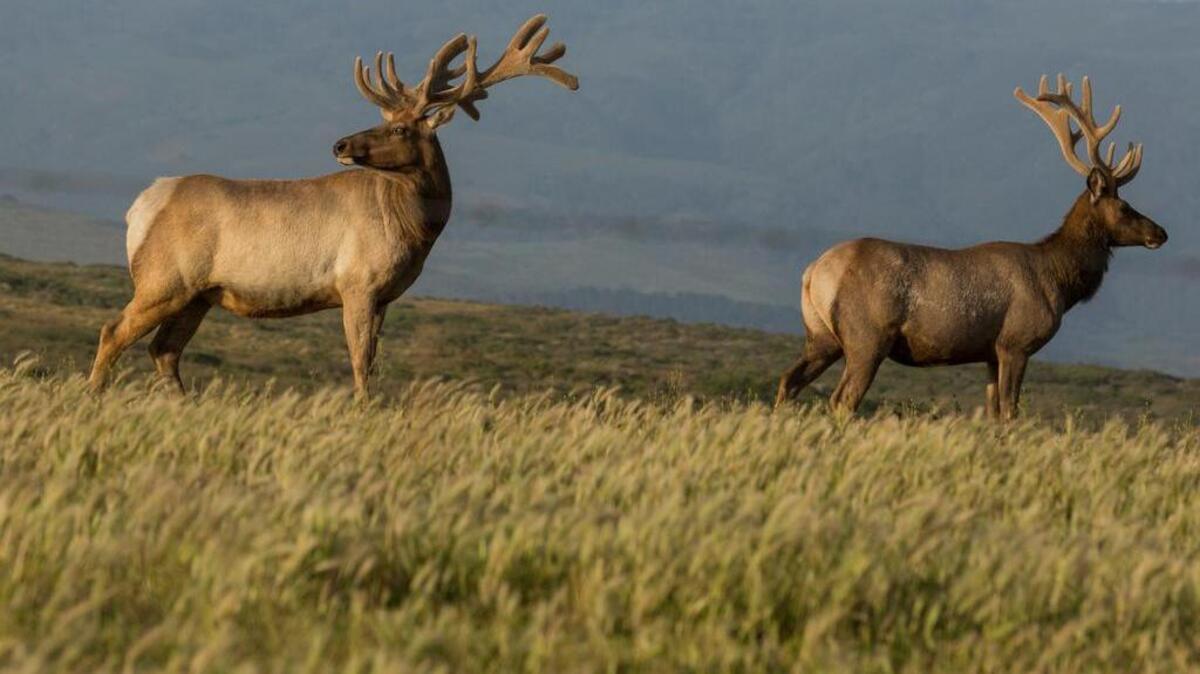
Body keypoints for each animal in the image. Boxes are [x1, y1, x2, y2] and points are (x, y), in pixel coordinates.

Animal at [87, 15, 578, 399]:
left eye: (400, 128)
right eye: (387, 120)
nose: (341, 143)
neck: (415, 228)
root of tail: (141, 207)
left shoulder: (384, 296)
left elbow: (372, 361)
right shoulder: (358, 282)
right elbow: (360, 361)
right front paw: (364, 411)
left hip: (199, 295)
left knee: (164, 350)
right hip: (164, 279)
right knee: (114, 331)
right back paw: (94, 396)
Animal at [774, 75, 1167, 420]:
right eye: (1124, 207)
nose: (1160, 233)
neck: (1057, 280)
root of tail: (813, 273)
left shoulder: (989, 353)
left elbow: (993, 413)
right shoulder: (1015, 342)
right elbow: (1009, 412)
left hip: (821, 335)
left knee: (788, 381)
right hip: (866, 336)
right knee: (842, 399)